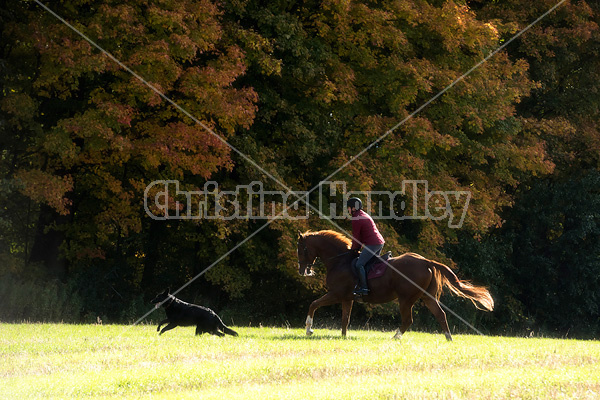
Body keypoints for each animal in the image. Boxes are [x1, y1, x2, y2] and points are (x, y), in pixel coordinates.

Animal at [298, 230, 494, 340]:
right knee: (440, 314)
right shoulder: (347, 298)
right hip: (427, 297)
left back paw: (395, 337)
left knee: (408, 319)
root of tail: (426, 261)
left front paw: (309, 330)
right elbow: (345, 319)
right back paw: (448, 338)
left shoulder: (336, 294)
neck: (339, 261)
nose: (302, 271)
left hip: (406, 299)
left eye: (302, 249)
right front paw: (343, 338)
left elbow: (313, 304)